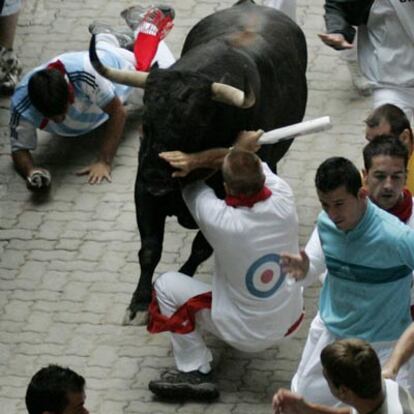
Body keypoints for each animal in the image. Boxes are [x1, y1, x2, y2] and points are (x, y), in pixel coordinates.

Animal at [88, 0, 308, 324]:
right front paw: (139, 302)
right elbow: (150, 249)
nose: (156, 178)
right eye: (146, 125)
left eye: (195, 127)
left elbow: (200, 248)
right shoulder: (143, 192)